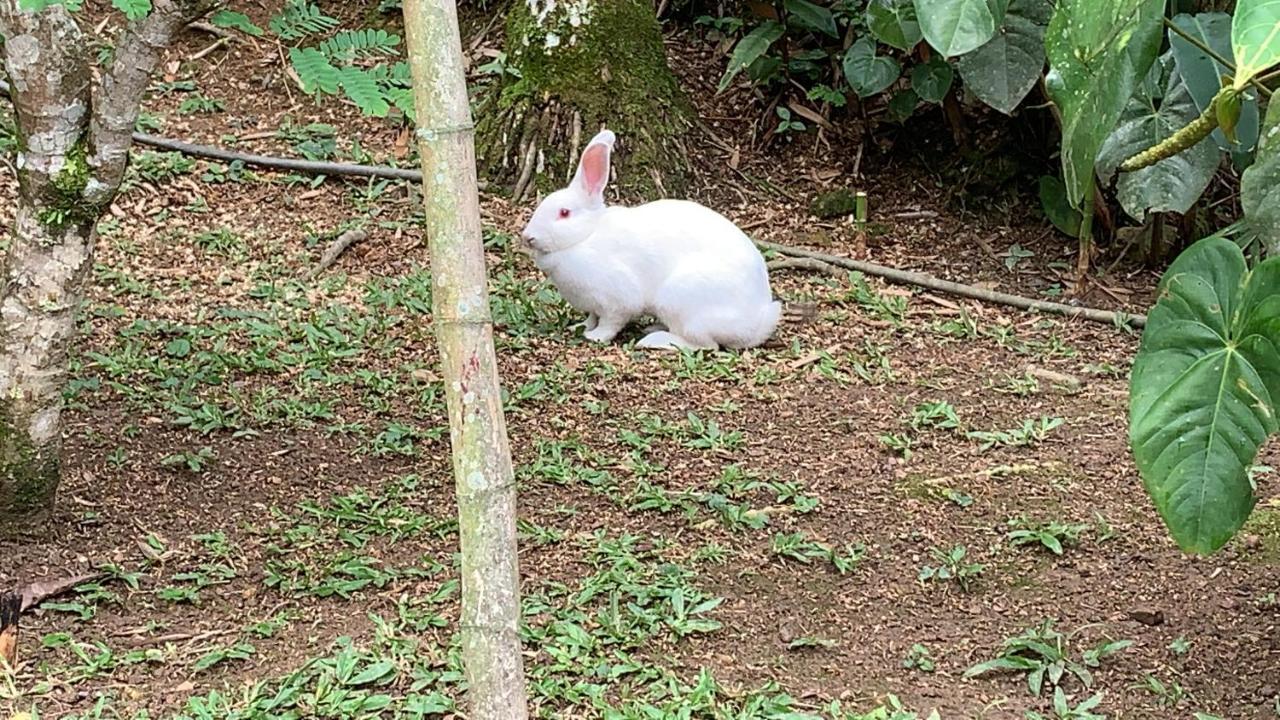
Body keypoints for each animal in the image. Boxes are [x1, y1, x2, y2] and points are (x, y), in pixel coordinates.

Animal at [517, 130, 778, 351]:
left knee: (704, 345)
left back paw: (654, 340)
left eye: (564, 213)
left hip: (680, 302)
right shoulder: (594, 305)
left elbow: (610, 323)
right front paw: (580, 327)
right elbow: (592, 317)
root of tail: (757, 323)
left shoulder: (617, 301)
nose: (527, 237)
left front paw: (594, 337)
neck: (585, 236)